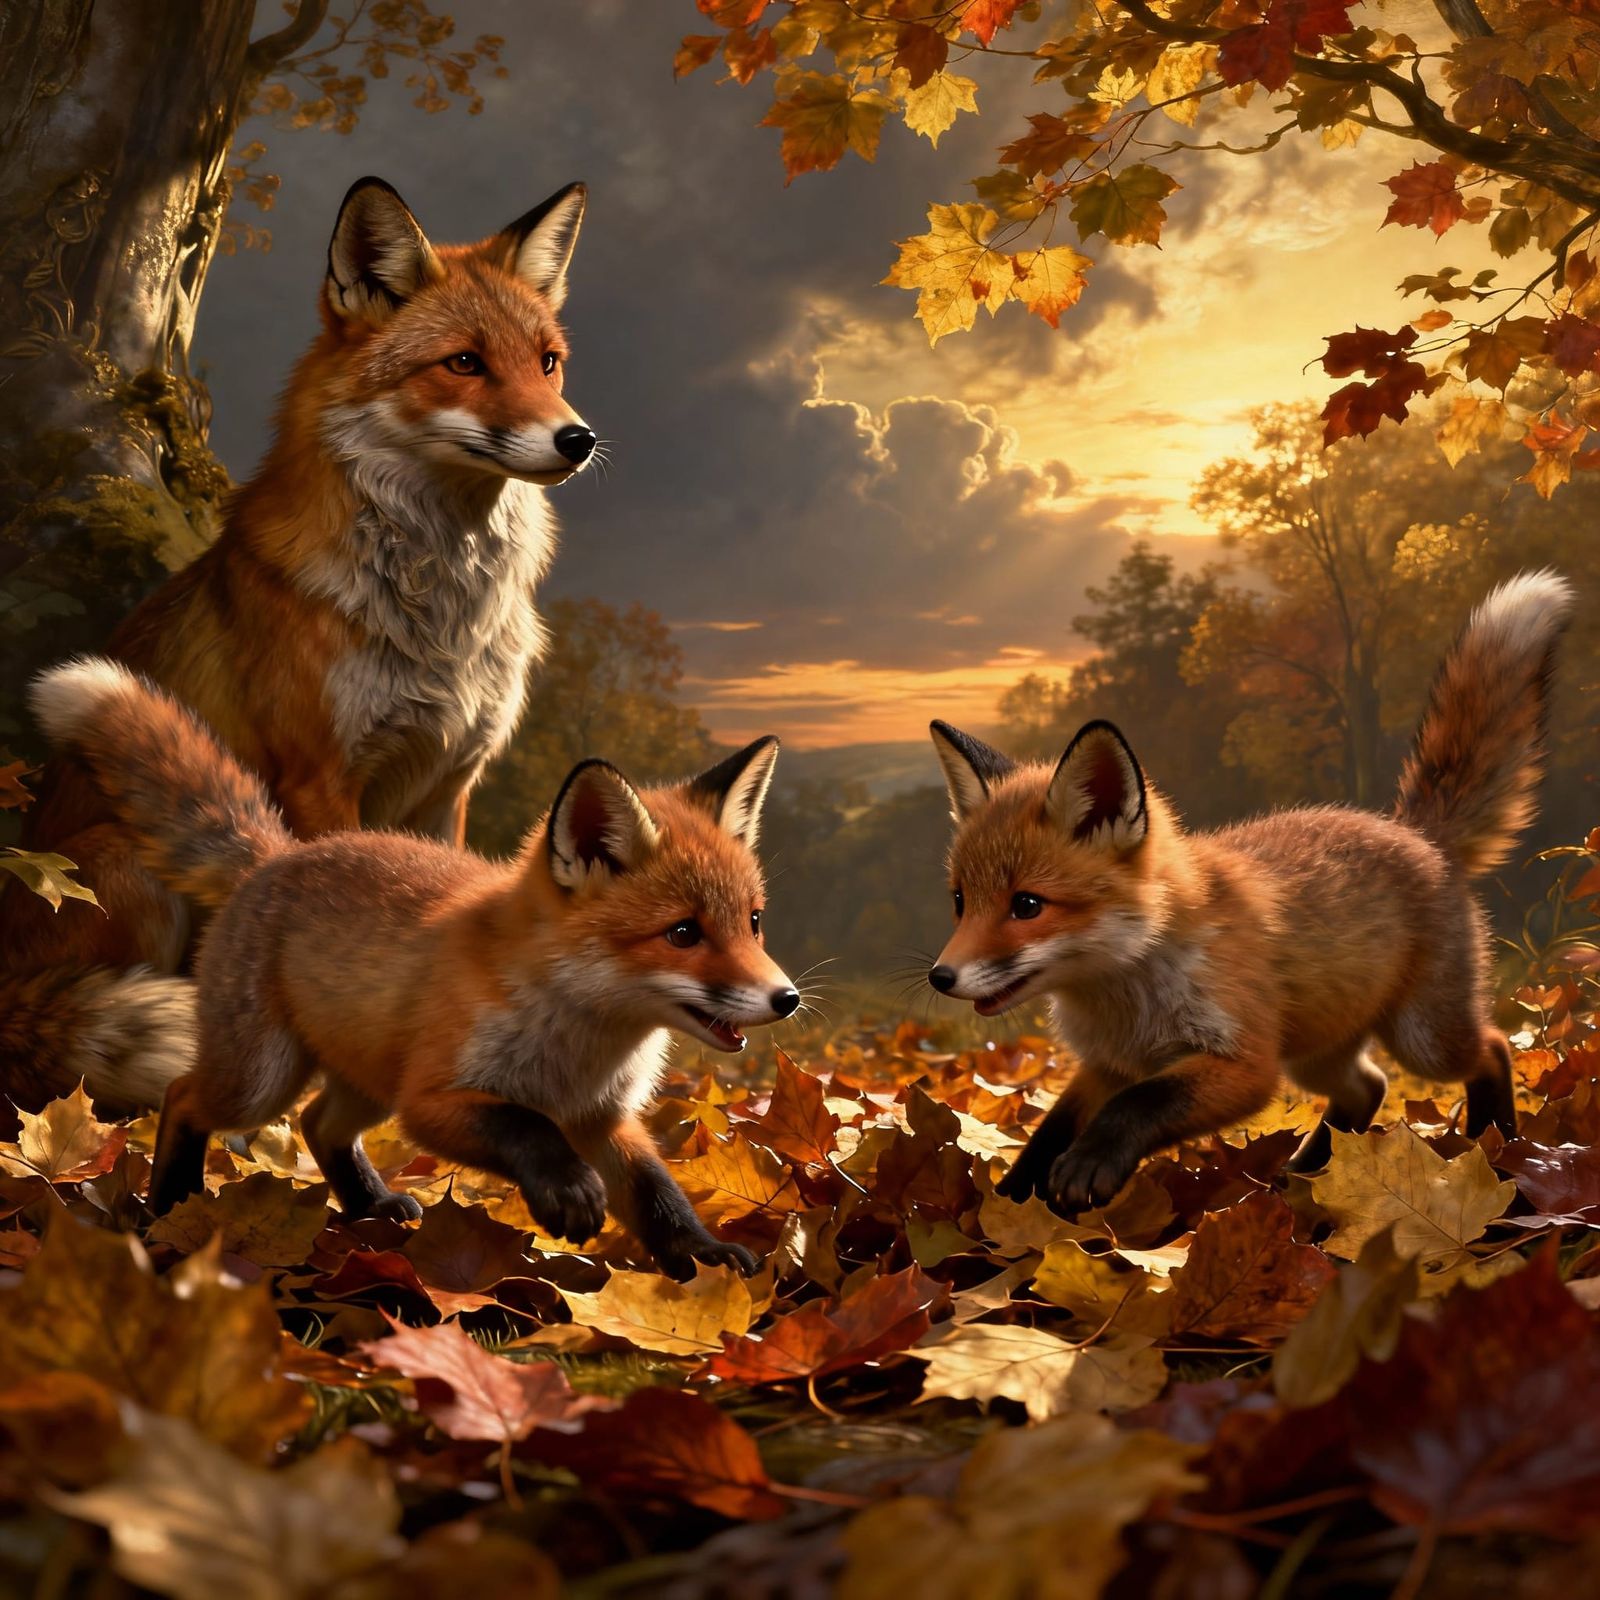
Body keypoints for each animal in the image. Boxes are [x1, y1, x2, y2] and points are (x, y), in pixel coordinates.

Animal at [2, 176, 595, 1117]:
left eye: (548, 363)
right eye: (464, 363)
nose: (578, 438)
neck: (437, 617)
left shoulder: (449, 783)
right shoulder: (320, 777)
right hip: (132, 866)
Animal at [29, 658, 800, 1278]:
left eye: (754, 922)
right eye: (683, 933)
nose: (787, 998)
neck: (581, 1042)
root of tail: (280, 855)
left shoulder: (602, 1117)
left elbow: (656, 1193)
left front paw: (702, 1258)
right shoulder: (434, 1100)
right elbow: (528, 1130)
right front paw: (569, 1196)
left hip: (364, 1079)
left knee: (320, 1125)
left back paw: (369, 1204)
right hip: (264, 1078)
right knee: (187, 1096)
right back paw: (171, 1211)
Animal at [925, 570, 1574, 1215]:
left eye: (1027, 905)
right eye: (960, 901)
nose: (939, 977)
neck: (1130, 986)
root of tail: (1416, 832)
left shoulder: (1246, 1061)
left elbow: (1139, 1105)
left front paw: (1087, 1166)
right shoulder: (1109, 1064)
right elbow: (1051, 1131)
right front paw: (1006, 1206)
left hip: (1423, 1039)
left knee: (1491, 1048)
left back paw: (1496, 1150)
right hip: (1319, 1053)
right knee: (1368, 1088)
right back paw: (1307, 1178)